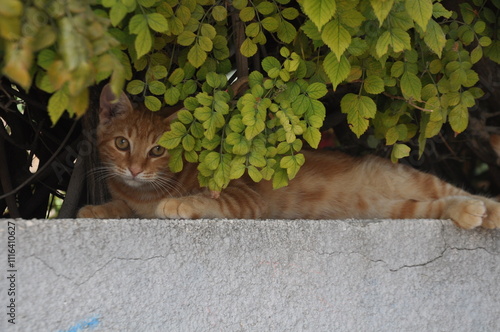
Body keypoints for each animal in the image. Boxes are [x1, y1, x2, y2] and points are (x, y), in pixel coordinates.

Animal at [76, 84, 500, 230]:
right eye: (122, 144)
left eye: (157, 151)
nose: (134, 169)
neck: (143, 192)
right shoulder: (130, 200)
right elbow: (121, 209)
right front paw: (95, 209)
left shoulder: (244, 199)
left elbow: (202, 201)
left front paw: (177, 203)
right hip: (395, 209)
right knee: (440, 206)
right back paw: (470, 213)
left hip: (411, 179)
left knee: (458, 190)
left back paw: (487, 209)